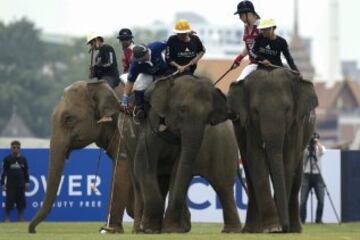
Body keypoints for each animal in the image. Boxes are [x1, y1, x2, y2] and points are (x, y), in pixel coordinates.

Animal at [132, 75, 242, 232]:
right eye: (182, 109)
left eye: (208, 116)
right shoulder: (151, 128)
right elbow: (144, 166)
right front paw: (150, 229)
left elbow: (177, 170)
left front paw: (170, 230)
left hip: (224, 148)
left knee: (223, 185)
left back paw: (230, 231)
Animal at [228, 68, 318, 233]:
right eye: (255, 111)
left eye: (288, 110)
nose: (284, 227)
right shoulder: (249, 125)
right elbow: (256, 158)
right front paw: (273, 228)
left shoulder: (296, 124)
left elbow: (288, 159)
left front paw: (279, 228)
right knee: (249, 173)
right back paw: (251, 230)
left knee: (297, 176)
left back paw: (295, 230)